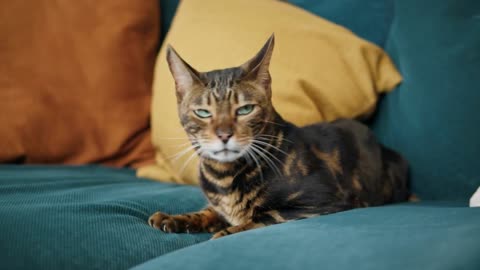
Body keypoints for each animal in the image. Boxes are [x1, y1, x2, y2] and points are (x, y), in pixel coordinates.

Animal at [147, 34, 408, 239]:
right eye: (203, 112)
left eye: (245, 109)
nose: (224, 135)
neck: (225, 177)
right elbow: (210, 211)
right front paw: (176, 218)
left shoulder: (322, 201)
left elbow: (263, 216)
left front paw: (225, 232)